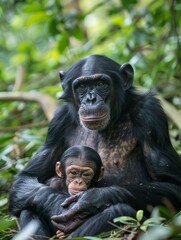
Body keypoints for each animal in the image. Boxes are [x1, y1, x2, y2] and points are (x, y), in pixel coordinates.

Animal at [9, 54, 181, 238]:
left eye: (100, 83)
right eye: (82, 86)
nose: (91, 99)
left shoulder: (151, 114)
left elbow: (173, 185)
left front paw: (92, 199)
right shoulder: (58, 122)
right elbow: (26, 178)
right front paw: (60, 204)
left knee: (120, 211)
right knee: (28, 208)